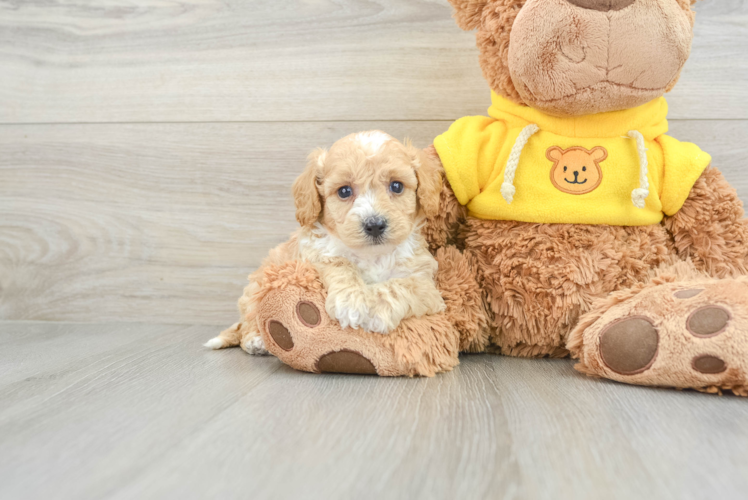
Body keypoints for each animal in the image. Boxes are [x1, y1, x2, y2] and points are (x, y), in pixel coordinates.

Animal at [206, 131, 444, 354]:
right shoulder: (316, 253)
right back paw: (255, 340)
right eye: (344, 191)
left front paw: (376, 311)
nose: (375, 225)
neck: (372, 254)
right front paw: (351, 302)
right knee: (248, 321)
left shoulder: (426, 284)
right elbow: (339, 263)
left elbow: (400, 286)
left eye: (396, 186)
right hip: (256, 289)